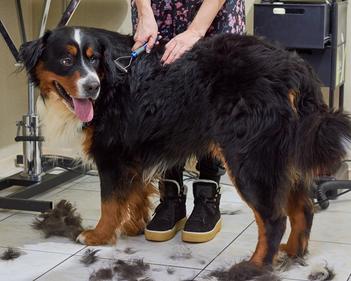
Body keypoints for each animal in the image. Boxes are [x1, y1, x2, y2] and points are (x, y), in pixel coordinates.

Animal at [18, 26, 351, 270]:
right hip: (281, 154)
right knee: (303, 208)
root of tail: (294, 65)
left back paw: (255, 266)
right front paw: (135, 225)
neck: (112, 78)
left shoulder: (111, 155)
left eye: (93, 60)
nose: (91, 86)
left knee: (273, 219)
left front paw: (99, 235)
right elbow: (135, 195)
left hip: (249, 156)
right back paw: (293, 252)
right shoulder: (132, 152)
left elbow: (109, 204)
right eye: (66, 60)